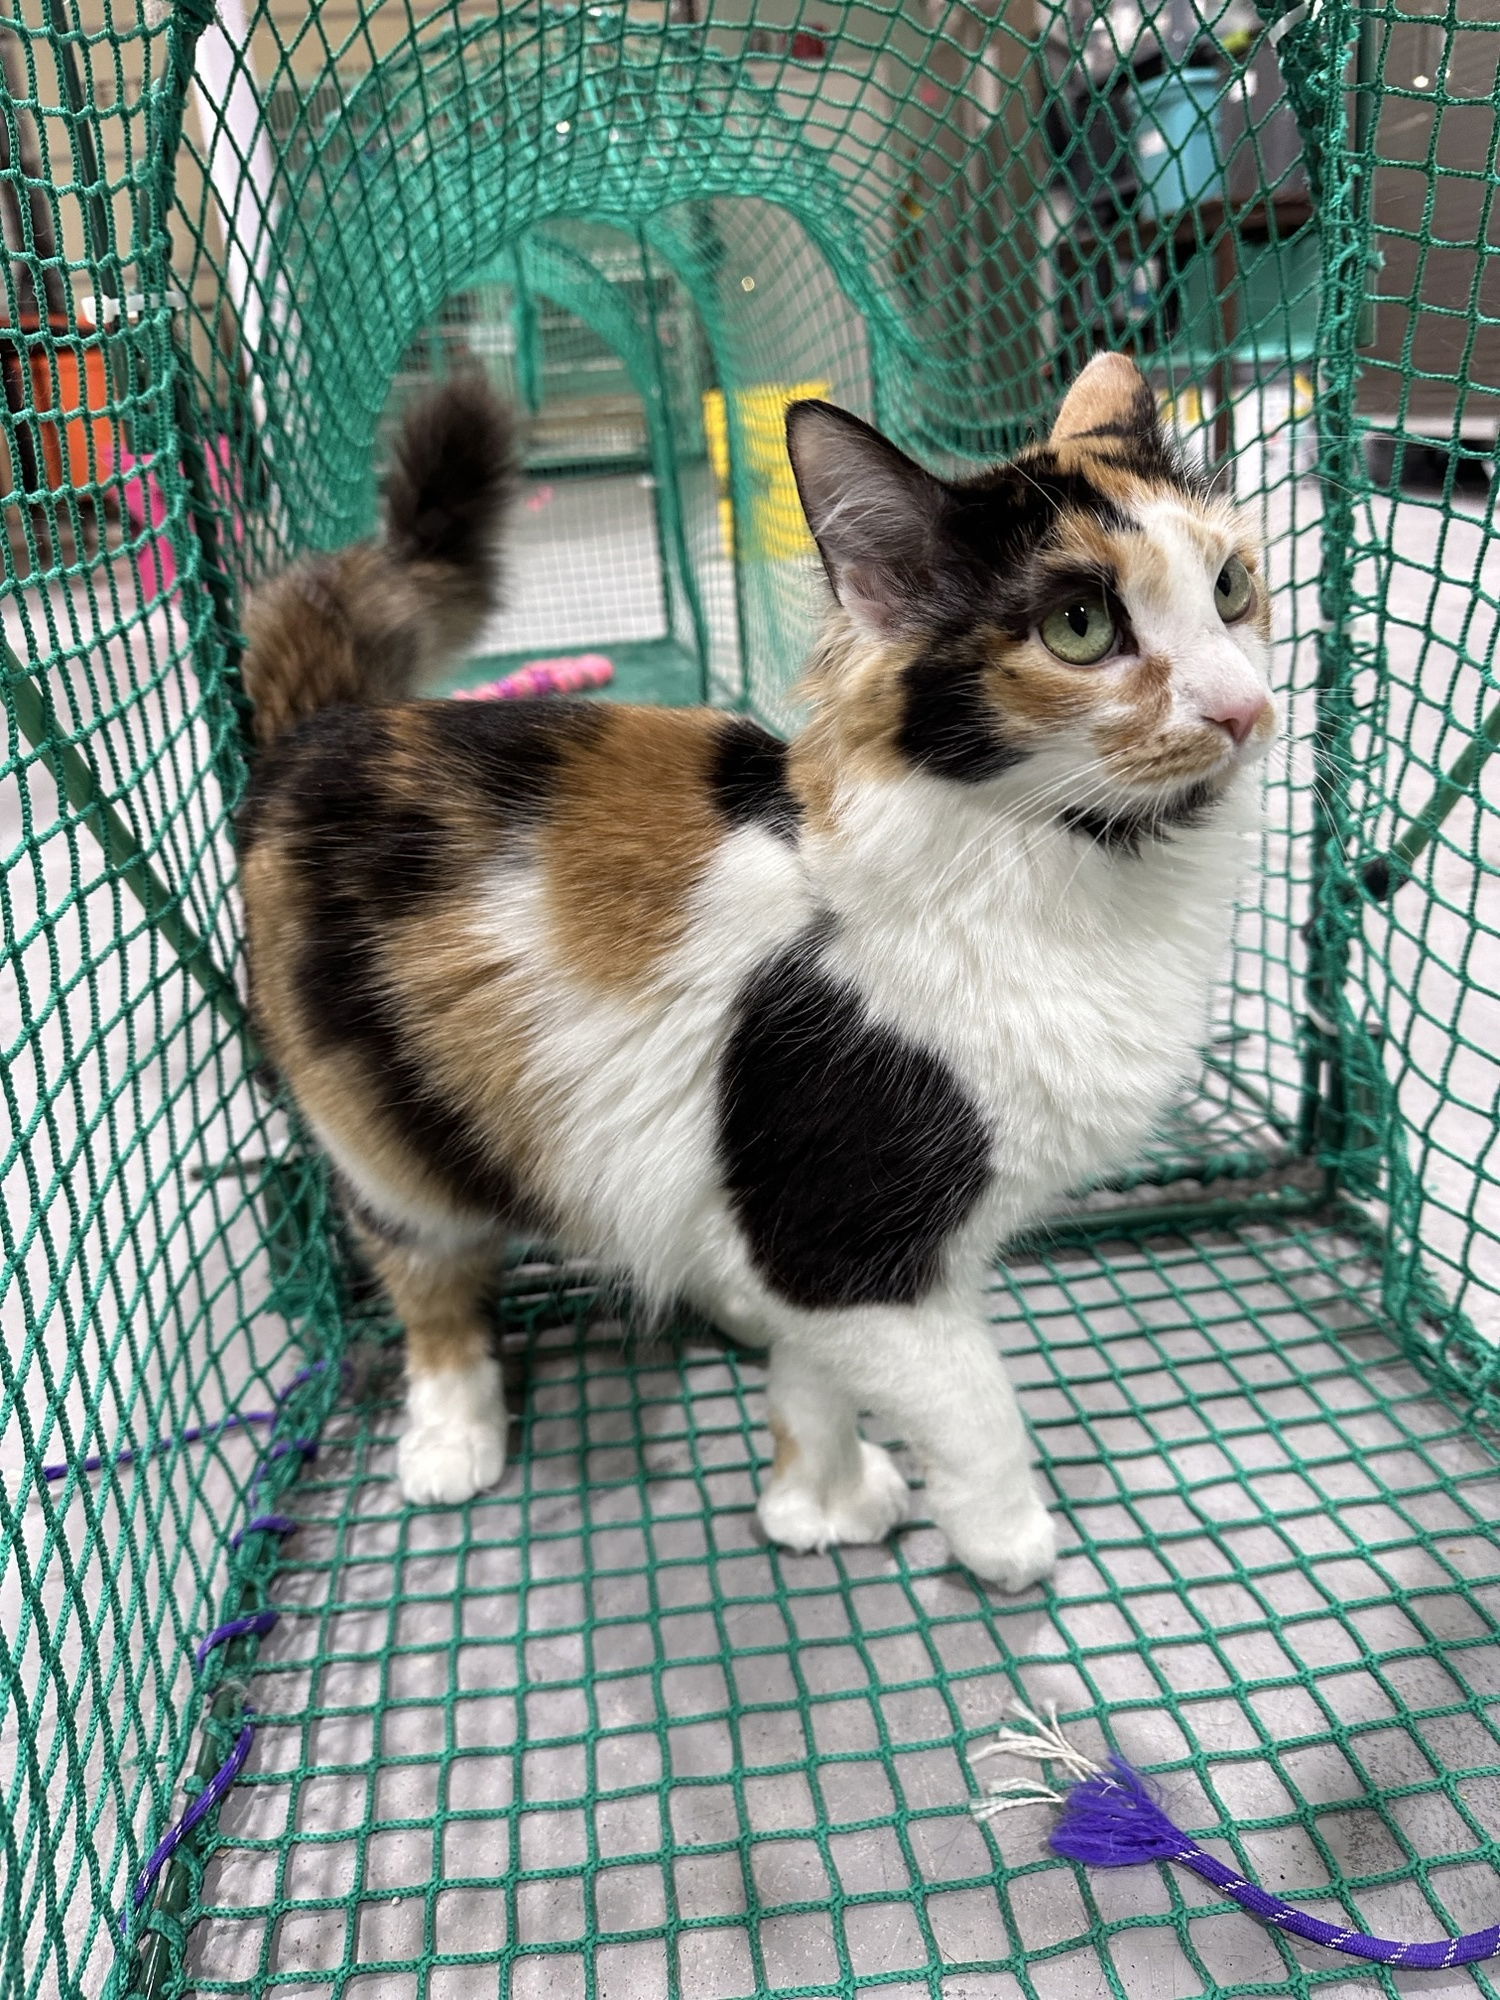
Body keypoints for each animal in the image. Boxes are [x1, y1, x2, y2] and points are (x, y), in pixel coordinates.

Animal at [247, 352, 1280, 1584]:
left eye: (1232, 587)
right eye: (1080, 626)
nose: (1249, 707)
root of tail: (328, 730)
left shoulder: (815, 1252)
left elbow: (816, 1379)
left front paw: (816, 1499)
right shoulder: (849, 1233)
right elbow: (975, 1401)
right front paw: (1006, 1538)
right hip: (387, 1142)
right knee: (430, 1287)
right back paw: (452, 1434)